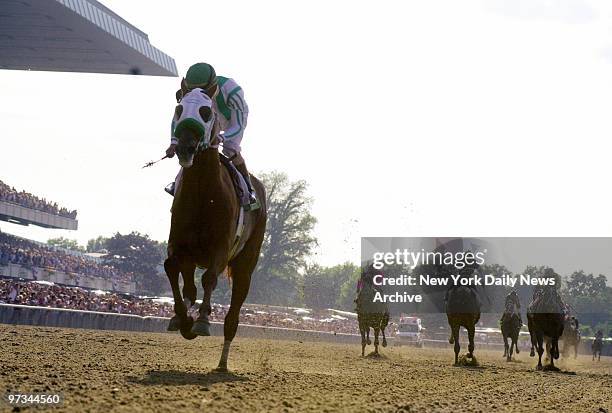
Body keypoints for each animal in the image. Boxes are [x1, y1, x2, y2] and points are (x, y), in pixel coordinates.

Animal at [164, 88, 266, 372]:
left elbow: (209, 278)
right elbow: (170, 267)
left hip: (245, 265)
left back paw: (222, 362)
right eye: (179, 109)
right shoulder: (179, 245)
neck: (203, 193)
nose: (185, 147)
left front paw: (201, 321)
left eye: (206, 111)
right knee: (189, 288)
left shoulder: (220, 250)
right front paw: (182, 319)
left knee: (232, 316)